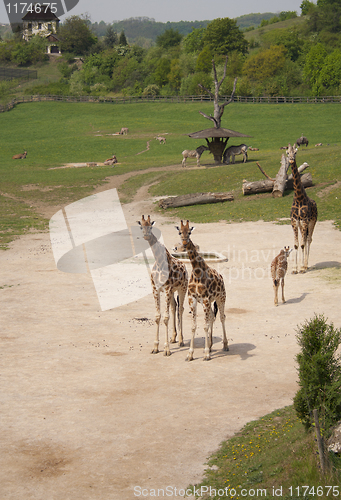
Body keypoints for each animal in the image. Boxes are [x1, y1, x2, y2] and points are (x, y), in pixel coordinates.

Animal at [137, 215, 187, 356]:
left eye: (151, 226)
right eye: (141, 227)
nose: (146, 236)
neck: (159, 262)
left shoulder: (168, 289)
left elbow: (165, 318)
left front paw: (166, 349)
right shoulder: (156, 289)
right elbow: (158, 317)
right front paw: (155, 347)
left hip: (182, 288)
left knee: (181, 308)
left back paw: (181, 340)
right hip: (172, 291)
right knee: (174, 307)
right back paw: (173, 338)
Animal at [174, 219, 227, 360]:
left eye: (189, 232)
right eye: (180, 232)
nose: (184, 244)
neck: (197, 272)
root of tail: (221, 277)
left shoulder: (206, 299)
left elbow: (205, 325)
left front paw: (207, 354)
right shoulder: (192, 299)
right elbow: (194, 326)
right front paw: (190, 354)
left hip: (221, 298)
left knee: (222, 317)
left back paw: (225, 345)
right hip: (207, 302)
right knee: (212, 317)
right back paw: (210, 345)